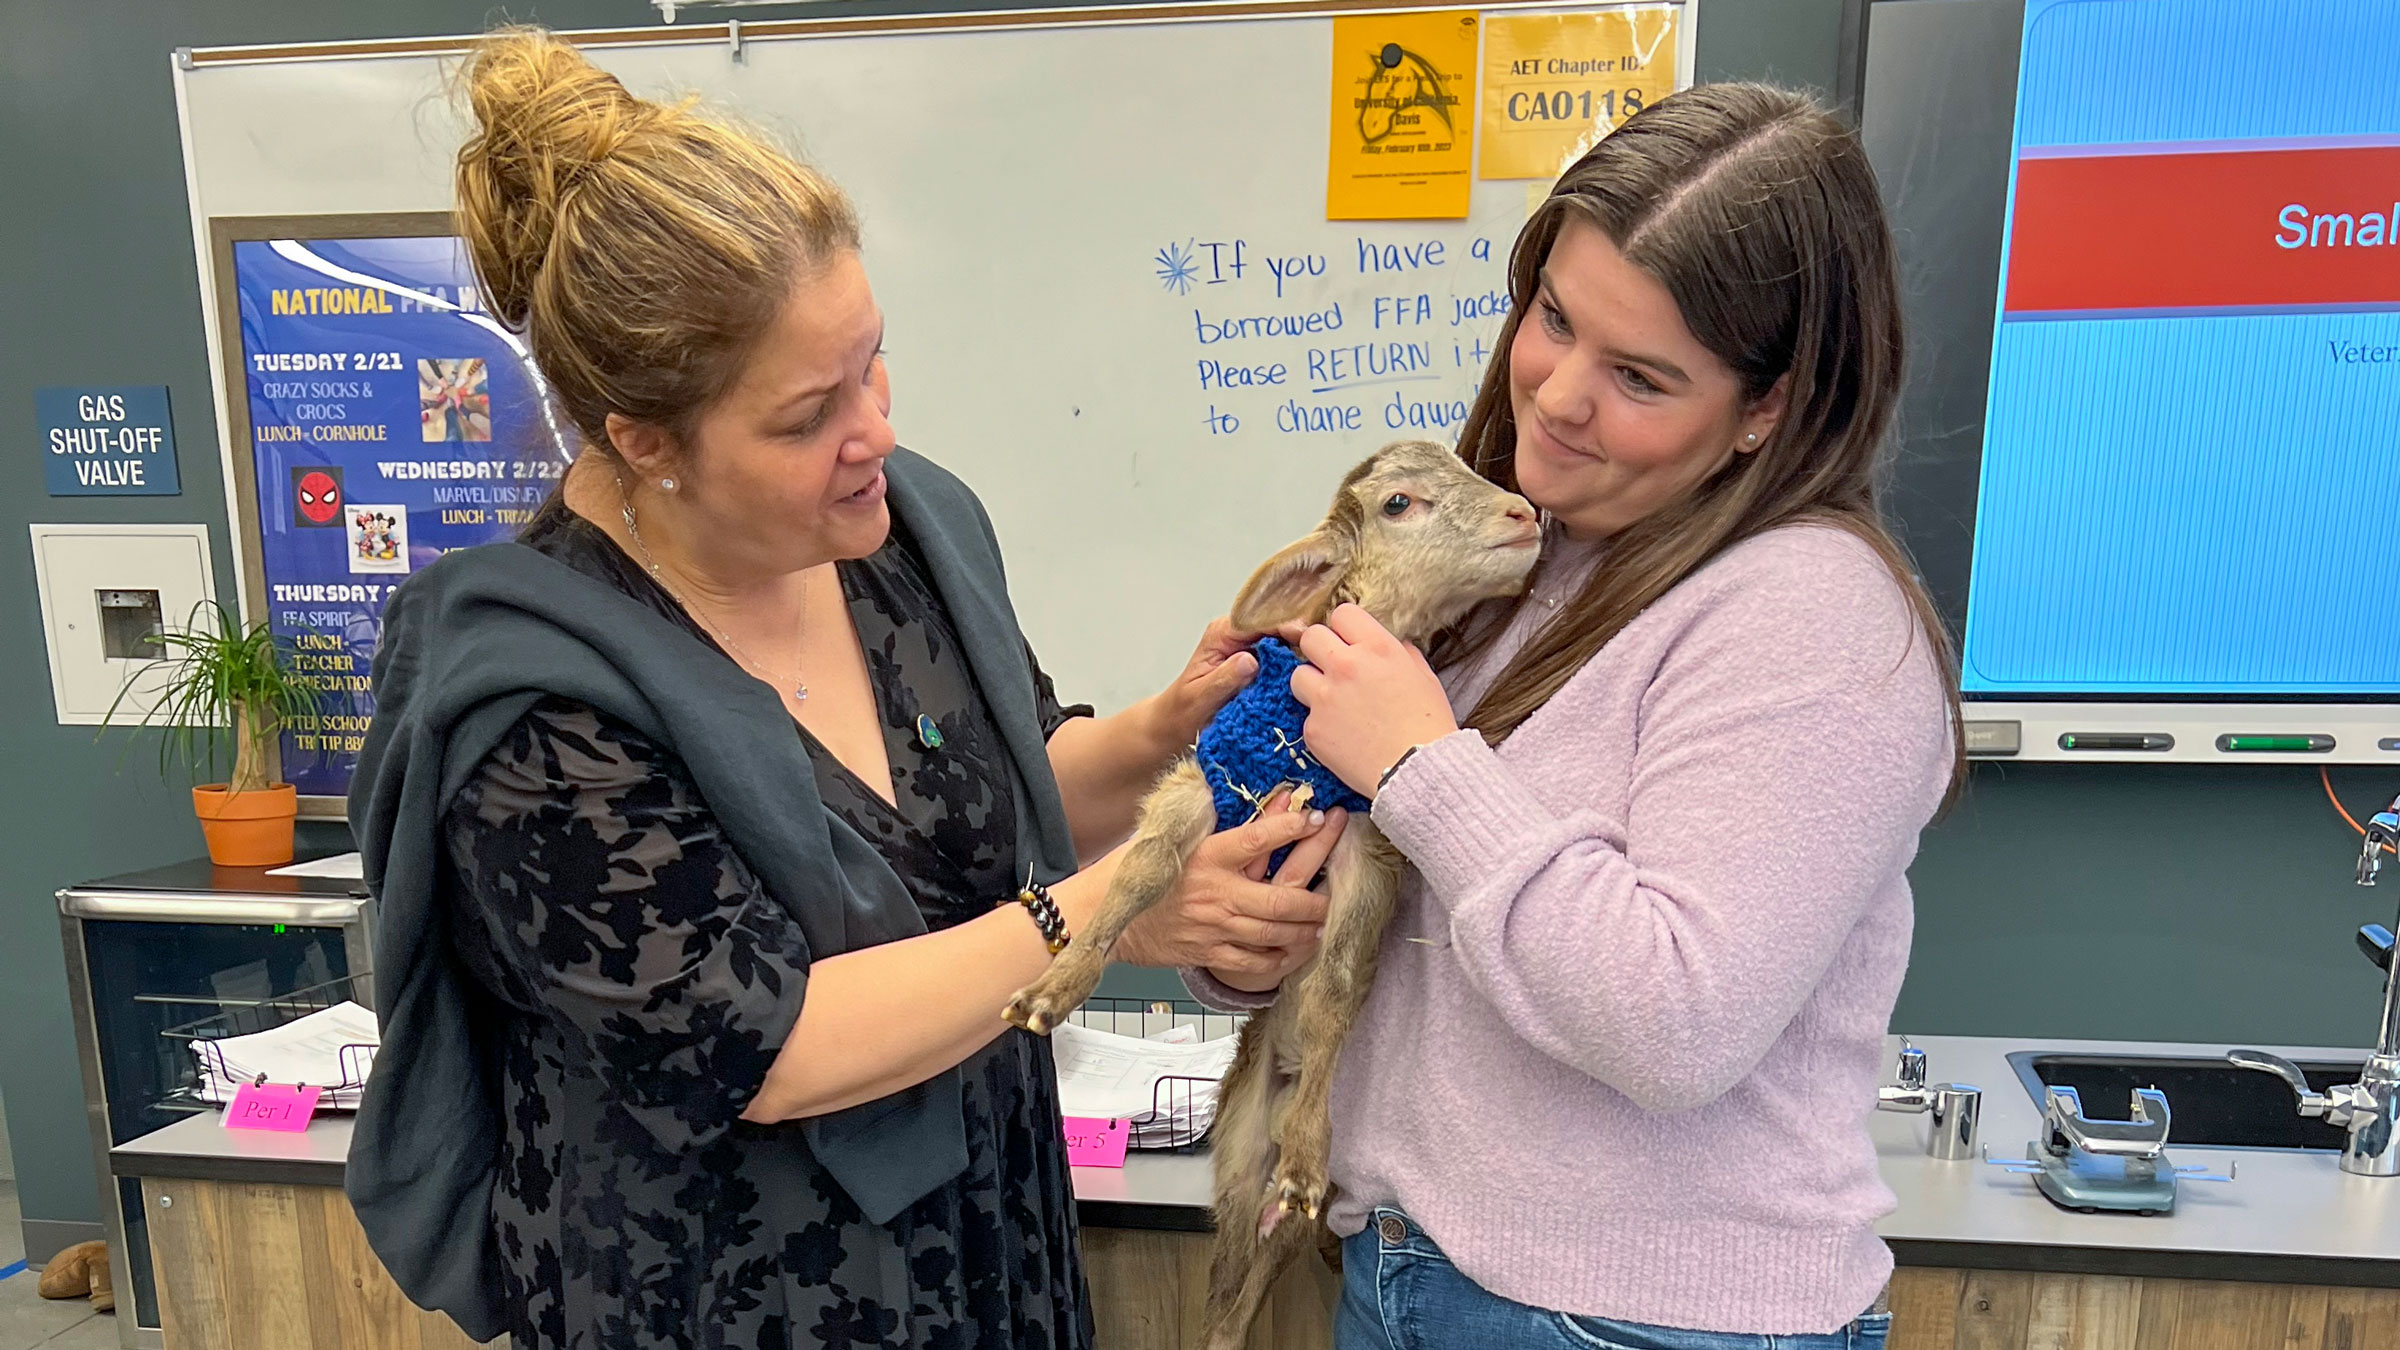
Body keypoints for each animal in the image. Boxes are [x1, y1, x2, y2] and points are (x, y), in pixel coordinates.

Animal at [1008, 441, 1536, 1345]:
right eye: (1401, 502)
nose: (1526, 513)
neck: (1300, 738)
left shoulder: (1364, 845)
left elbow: (1332, 993)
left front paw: (1307, 1153)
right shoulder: (1205, 782)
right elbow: (1141, 873)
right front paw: (1054, 987)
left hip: (1281, 1201)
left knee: (1255, 1271)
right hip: (1232, 1154)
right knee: (1225, 1295)